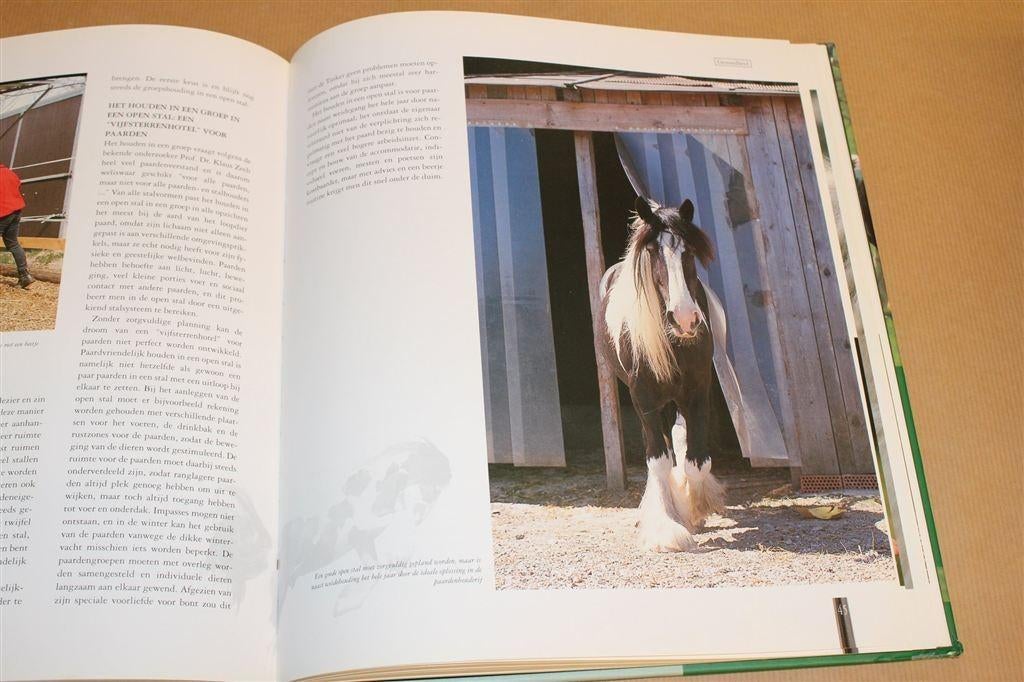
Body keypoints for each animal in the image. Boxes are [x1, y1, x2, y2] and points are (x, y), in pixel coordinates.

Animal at [598, 196, 726, 552]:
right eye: (654, 252)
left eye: (690, 252)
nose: (684, 319)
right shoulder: (644, 400)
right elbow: (658, 461)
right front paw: (667, 527)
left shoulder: (697, 392)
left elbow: (696, 461)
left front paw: (694, 508)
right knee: (661, 452)